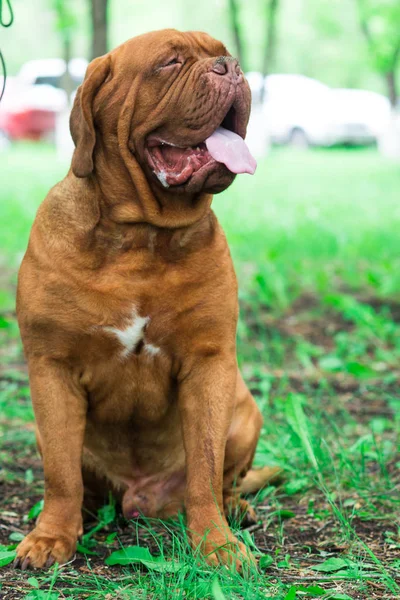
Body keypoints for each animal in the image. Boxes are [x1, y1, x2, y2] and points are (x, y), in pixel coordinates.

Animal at [14, 29, 278, 572]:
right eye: (170, 62)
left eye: (222, 52)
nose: (231, 67)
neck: (141, 239)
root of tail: (140, 497)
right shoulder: (51, 368)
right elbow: (61, 475)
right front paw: (50, 538)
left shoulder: (209, 364)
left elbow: (204, 464)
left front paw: (216, 544)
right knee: (75, 479)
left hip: (245, 409)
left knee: (226, 479)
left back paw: (235, 509)